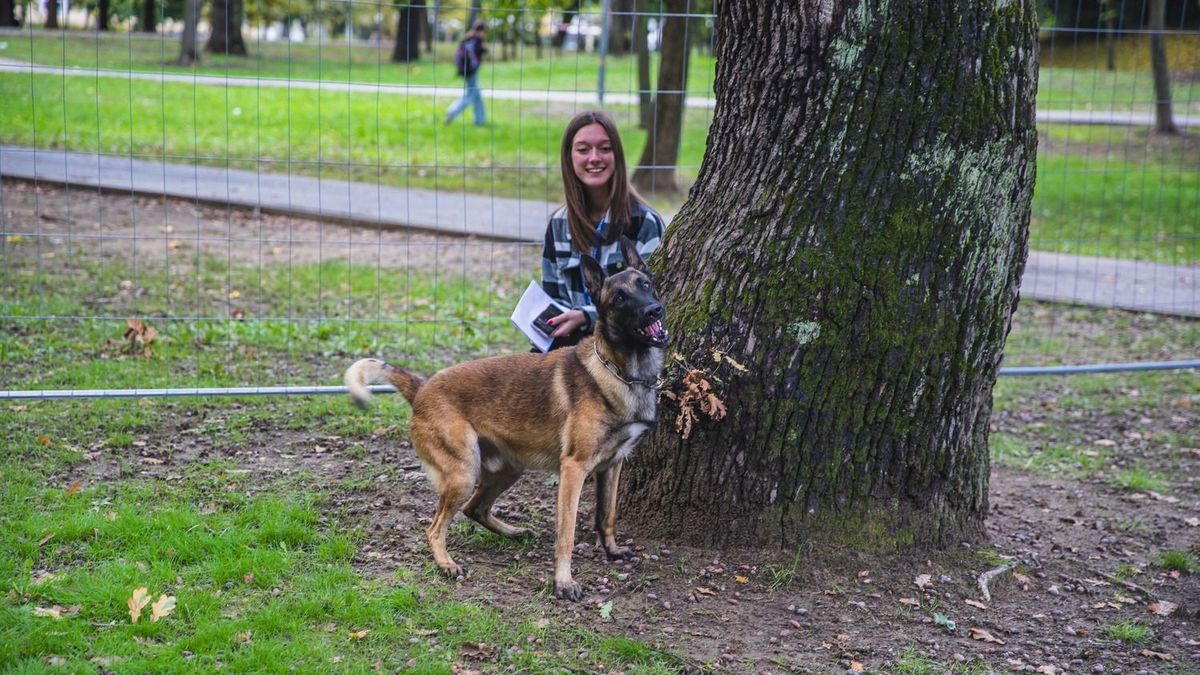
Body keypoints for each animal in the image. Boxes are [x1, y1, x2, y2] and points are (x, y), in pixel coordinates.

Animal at [343, 236, 672, 598]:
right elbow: (567, 533)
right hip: (464, 473)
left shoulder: (612, 466)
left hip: (508, 469)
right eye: (619, 298)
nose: (654, 310)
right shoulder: (574, 468)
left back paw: (513, 532)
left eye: (645, 285)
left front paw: (612, 551)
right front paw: (563, 581)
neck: (619, 372)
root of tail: (421, 388)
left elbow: (607, 515)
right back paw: (446, 563)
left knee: (474, 509)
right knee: (434, 526)